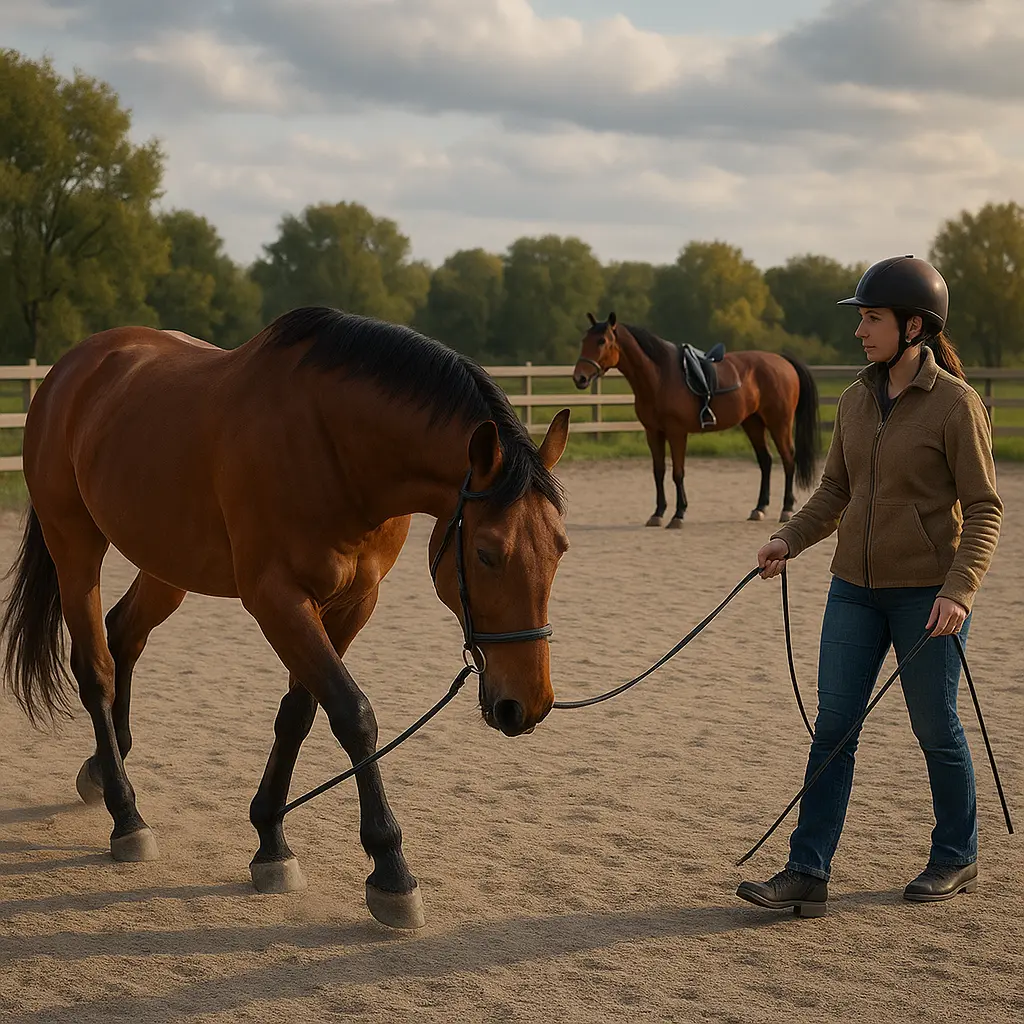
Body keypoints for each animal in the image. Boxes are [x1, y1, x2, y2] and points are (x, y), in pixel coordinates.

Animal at [0, 306, 572, 930]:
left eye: (560, 548)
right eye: (488, 553)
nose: (526, 704)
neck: (335, 448)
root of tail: (72, 368)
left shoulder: (352, 604)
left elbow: (300, 714)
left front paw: (271, 838)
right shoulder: (278, 601)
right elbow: (353, 715)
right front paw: (391, 872)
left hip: (168, 562)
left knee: (124, 633)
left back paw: (106, 770)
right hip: (74, 544)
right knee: (96, 669)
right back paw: (126, 817)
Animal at [572, 313, 820, 526]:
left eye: (602, 341)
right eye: (584, 339)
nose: (579, 378)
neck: (660, 376)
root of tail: (783, 361)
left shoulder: (676, 432)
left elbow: (677, 473)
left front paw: (678, 514)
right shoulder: (653, 432)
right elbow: (659, 472)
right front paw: (658, 513)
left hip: (780, 422)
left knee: (788, 459)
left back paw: (786, 509)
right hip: (753, 422)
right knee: (766, 461)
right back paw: (759, 509)